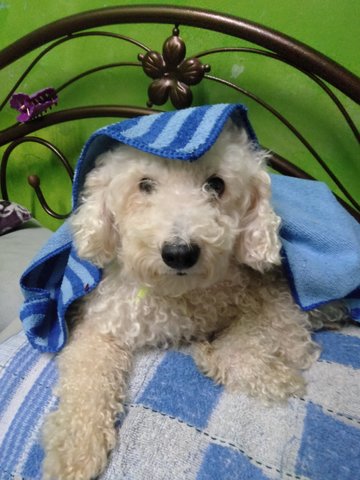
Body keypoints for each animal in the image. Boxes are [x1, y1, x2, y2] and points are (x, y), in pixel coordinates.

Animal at [41, 121, 344, 480]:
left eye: (216, 185)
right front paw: (74, 452)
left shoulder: (277, 295)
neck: (179, 296)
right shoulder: (101, 327)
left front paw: (262, 371)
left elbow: (255, 342)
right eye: (144, 185)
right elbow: (86, 383)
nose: (179, 253)